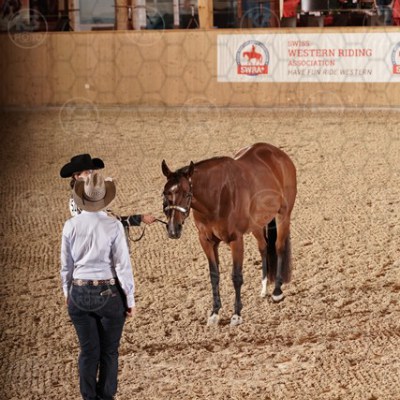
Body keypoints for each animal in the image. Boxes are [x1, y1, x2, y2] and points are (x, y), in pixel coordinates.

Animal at [161, 143, 297, 326]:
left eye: (187, 194)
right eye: (165, 194)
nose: (173, 229)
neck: (217, 196)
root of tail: (279, 154)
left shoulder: (236, 240)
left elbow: (236, 276)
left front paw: (236, 315)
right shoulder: (206, 241)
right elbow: (214, 275)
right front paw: (214, 313)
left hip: (283, 215)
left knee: (279, 247)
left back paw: (276, 292)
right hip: (257, 224)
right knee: (263, 247)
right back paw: (263, 289)